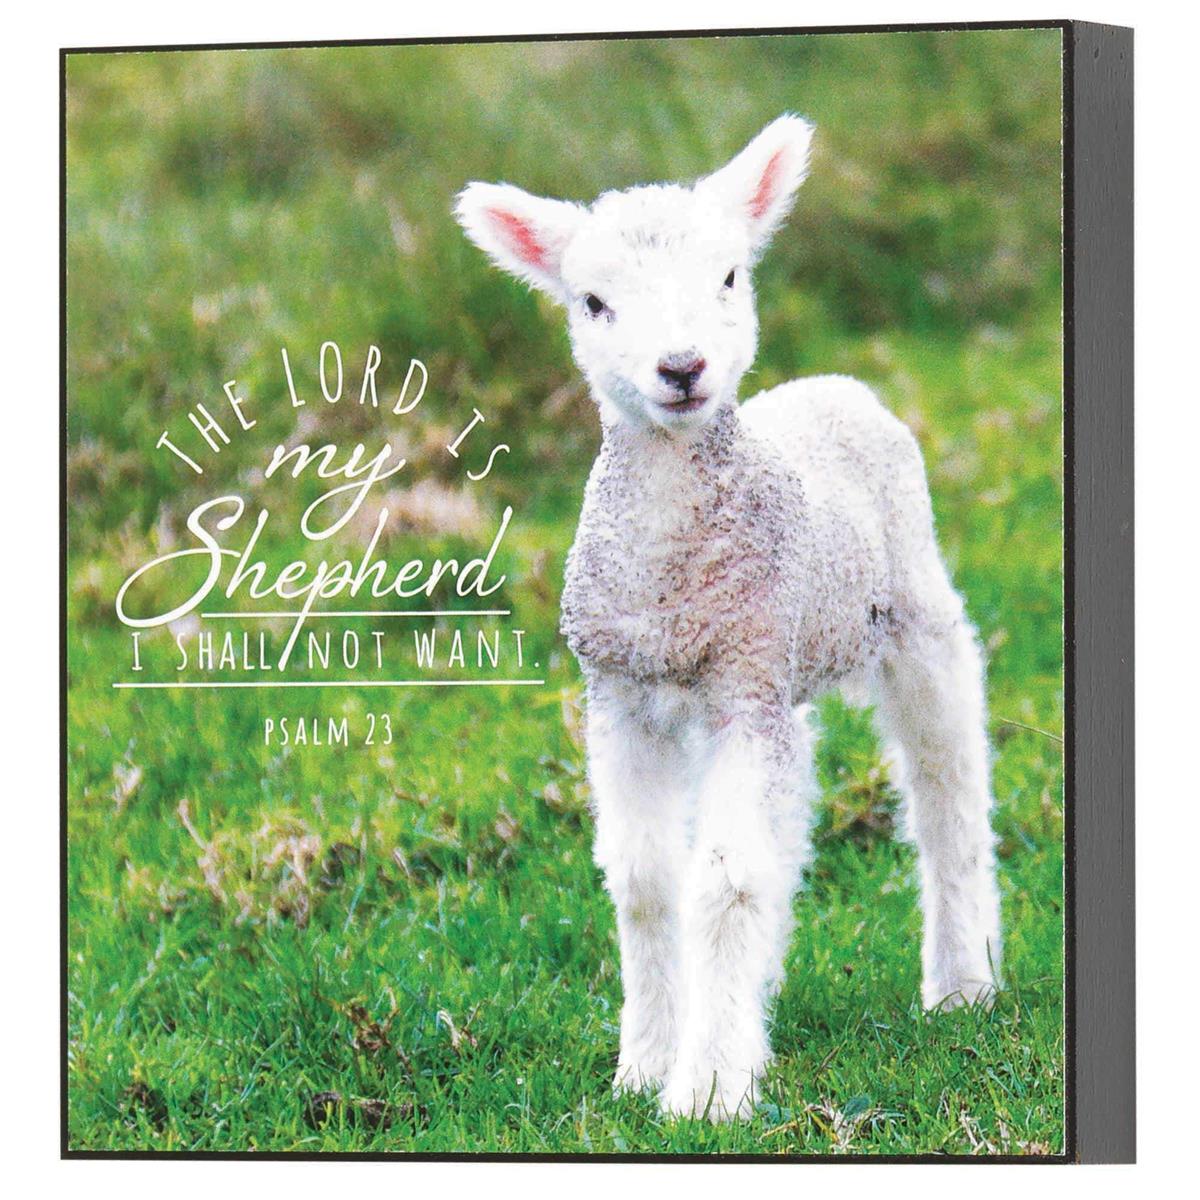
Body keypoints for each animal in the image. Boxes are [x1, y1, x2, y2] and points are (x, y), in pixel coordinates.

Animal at [454, 114, 1001, 1123]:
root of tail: (834, 385)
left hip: (912, 613)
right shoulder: (624, 694)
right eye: (593, 301)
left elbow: (725, 881)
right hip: (783, 671)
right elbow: (648, 883)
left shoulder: (742, 685)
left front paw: (707, 1088)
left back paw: (962, 984)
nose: (682, 369)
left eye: (730, 276)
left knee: (947, 790)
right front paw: (644, 1066)